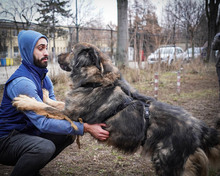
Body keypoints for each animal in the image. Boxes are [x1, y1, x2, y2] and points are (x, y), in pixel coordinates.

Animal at [12, 43, 220, 176]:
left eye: (71, 50)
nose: (54, 55)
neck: (94, 81)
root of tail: (200, 127)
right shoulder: (69, 107)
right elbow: (53, 102)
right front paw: (44, 94)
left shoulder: (70, 114)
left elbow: (44, 106)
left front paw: (24, 100)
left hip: (168, 164)